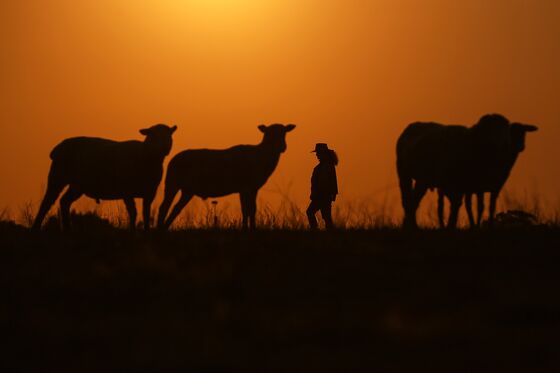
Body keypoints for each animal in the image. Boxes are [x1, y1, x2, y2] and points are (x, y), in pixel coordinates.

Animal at [32, 125, 177, 230]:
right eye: (153, 135)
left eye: (169, 136)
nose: (164, 148)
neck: (146, 156)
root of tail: (57, 148)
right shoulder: (127, 191)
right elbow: (133, 212)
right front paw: (132, 232)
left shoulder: (150, 192)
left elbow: (146, 213)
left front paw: (146, 231)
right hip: (58, 176)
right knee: (47, 202)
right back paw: (36, 228)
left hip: (77, 185)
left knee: (64, 201)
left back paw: (68, 229)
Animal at [158, 124, 296, 230]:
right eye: (269, 134)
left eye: (284, 133)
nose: (283, 147)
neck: (261, 156)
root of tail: (172, 161)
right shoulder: (245, 187)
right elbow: (247, 209)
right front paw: (247, 229)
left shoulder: (252, 188)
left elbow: (251, 209)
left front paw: (251, 228)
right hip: (172, 183)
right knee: (164, 206)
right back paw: (160, 228)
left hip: (187, 190)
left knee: (176, 208)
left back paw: (165, 228)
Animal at [398, 115, 540, 228]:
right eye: (511, 132)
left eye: (506, 131)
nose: (519, 146)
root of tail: (412, 126)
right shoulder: (470, 185)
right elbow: (470, 206)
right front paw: (465, 225)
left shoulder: (489, 187)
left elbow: (487, 206)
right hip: (405, 174)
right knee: (409, 200)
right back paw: (412, 226)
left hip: (426, 180)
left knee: (415, 201)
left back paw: (411, 225)